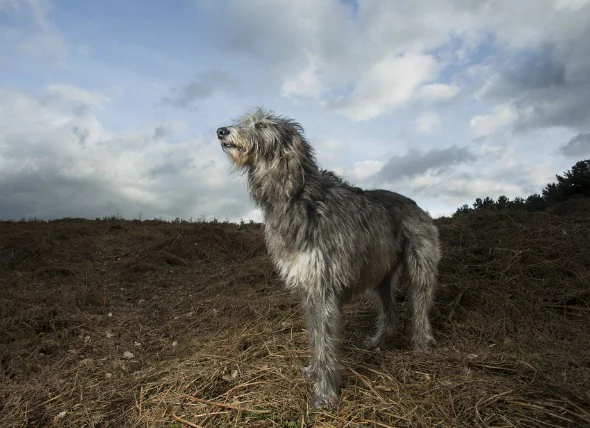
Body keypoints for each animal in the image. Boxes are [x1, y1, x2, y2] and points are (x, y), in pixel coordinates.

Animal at [220, 108, 442, 410]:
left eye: (262, 125)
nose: (221, 131)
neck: (296, 196)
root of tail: (414, 204)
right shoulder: (309, 289)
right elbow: (316, 336)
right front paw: (314, 370)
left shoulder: (323, 287)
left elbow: (325, 341)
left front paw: (325, 393)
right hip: (380, 274)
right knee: (390, 311)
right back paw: (378, 341)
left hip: (421, 265)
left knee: (420, 305)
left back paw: (421, 344)